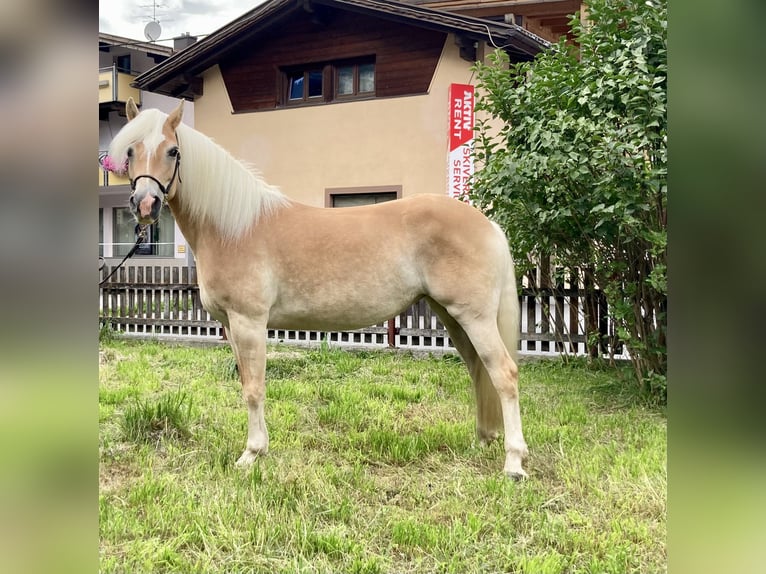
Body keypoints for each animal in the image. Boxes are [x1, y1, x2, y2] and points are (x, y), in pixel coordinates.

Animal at [105, 99, 532, 482]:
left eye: (173, 150)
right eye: (131, 150)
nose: (145, 204)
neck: (234, 227)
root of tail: (488, 224)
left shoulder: (249, 322)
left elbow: (254, 388)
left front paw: (252, 454)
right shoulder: (230, 325)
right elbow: (245, 384)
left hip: (473, 317)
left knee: (504, 373)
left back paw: (513, 462)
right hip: (452, 316)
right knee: (479, 369)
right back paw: (483, 440)